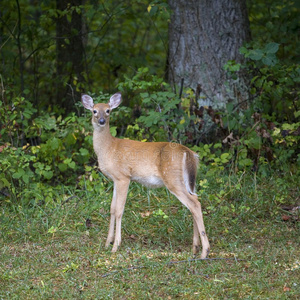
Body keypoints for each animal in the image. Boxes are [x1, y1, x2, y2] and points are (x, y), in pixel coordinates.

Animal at [81, 92, 210, 258]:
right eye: (94, 111)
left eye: (108, 110)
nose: (102, 121)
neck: (108, 148)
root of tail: (189, 153)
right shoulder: (115, 179)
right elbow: (112, 208)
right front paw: (107, 242)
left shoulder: (123, 177)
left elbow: (119, 210)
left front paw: (115, 246)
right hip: (187, 180)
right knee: (193, 203)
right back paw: (195, 248)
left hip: (172, 177)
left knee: (194, 203)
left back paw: (204, 252)